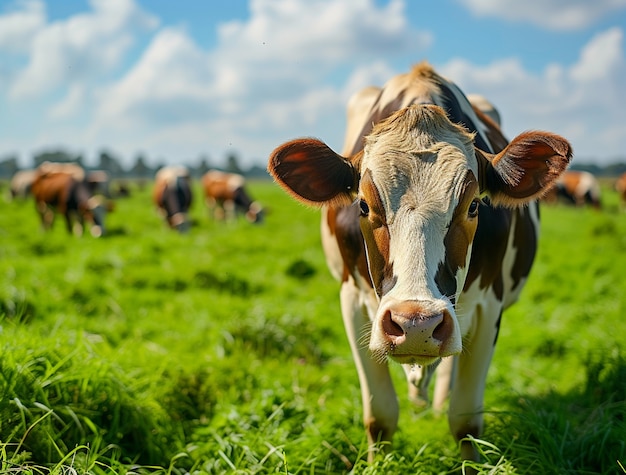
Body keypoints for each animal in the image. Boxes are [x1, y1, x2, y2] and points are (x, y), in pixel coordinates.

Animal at [266, 61, 572, 462]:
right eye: (363, 204)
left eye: (473, 205)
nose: (416, 324)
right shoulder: (352, 300)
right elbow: (380, 416)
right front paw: (377, 464)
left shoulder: (489, 306)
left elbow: (466, 420)